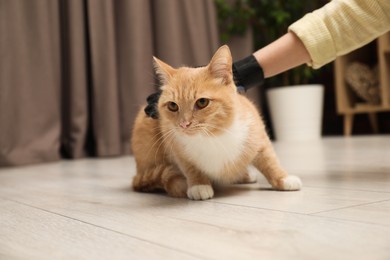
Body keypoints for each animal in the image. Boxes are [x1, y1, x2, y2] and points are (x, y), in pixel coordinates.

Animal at [131, 45, 302, 200]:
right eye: (173, 106)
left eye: (202, 102)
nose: (184, 124)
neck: (212, 136)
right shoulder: (176, 148)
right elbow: (190, 167)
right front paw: (199, 185)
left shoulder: (257, 135)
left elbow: (269, 160)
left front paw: (283, 179)